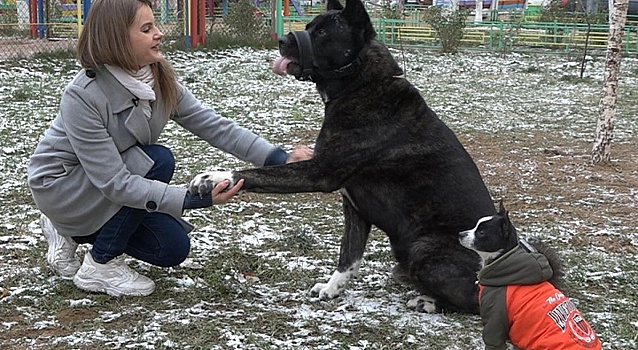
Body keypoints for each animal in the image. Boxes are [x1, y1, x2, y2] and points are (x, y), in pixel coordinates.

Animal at [192, 0, 498, 314]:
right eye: (309, 26)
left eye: (322, 32)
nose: (282, 40)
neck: (359, 84)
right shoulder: (353, 207)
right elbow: (349, 255)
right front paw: (332, 288)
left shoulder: (318, 172)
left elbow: (255, 173)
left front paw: (215, 177)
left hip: (423, 247)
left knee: (475, 298)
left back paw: (429, 301)